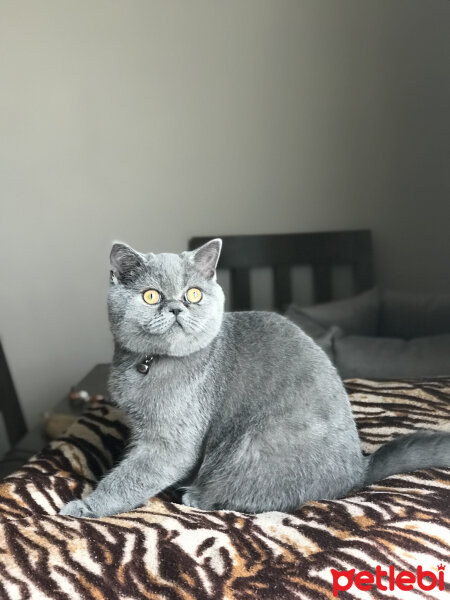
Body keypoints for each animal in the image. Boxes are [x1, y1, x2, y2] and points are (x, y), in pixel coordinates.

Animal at [61, 239, 450, 516]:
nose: (176, 307)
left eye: (194, 294)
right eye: (151, 295)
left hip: (250, 446)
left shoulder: (170, 442)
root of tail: (359, 471)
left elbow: (132, 478)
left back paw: (194, 495)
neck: (149, 364)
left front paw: (85, 506)